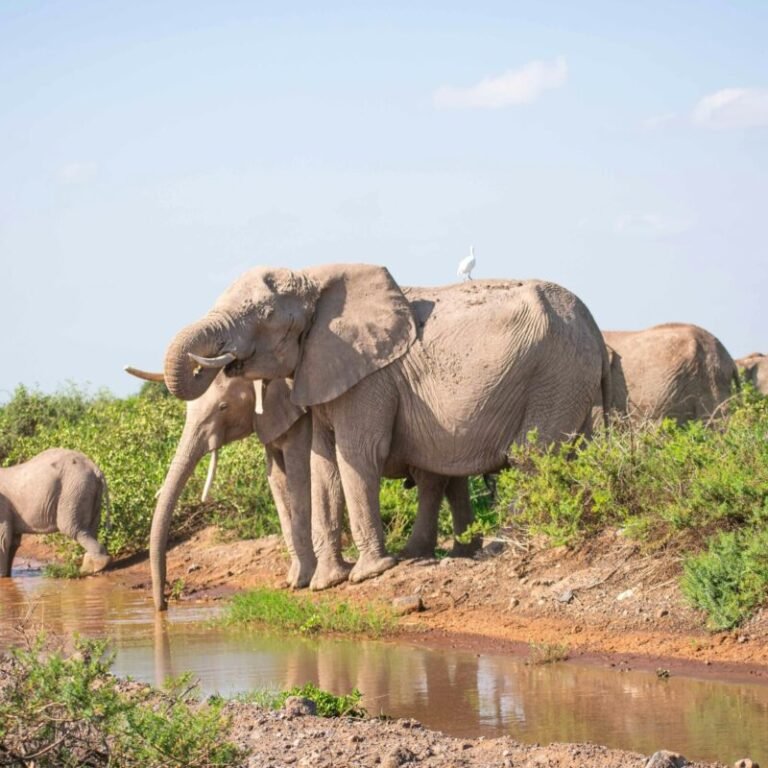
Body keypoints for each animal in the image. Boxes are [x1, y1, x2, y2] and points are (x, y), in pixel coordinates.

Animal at [0, 448, 111, 577]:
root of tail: (95, 468)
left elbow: (3, 541)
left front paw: (2, 577)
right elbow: (13, 542)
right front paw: (6, 576)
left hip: (74, 488)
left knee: (71, 528)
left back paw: (87, 569)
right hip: (88, 490)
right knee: (91, 527)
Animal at [162, 264, 609, 590]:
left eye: (266, 315)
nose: (219, 359)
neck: (316, 280)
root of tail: (595, 326)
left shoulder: (369, 379)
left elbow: (357, 455)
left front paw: (368, 574)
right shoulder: (324, 373)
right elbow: (324, 463)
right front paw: (327, 584)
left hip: (556, 372)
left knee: (530, 457)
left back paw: (499, 549)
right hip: (571, 379)